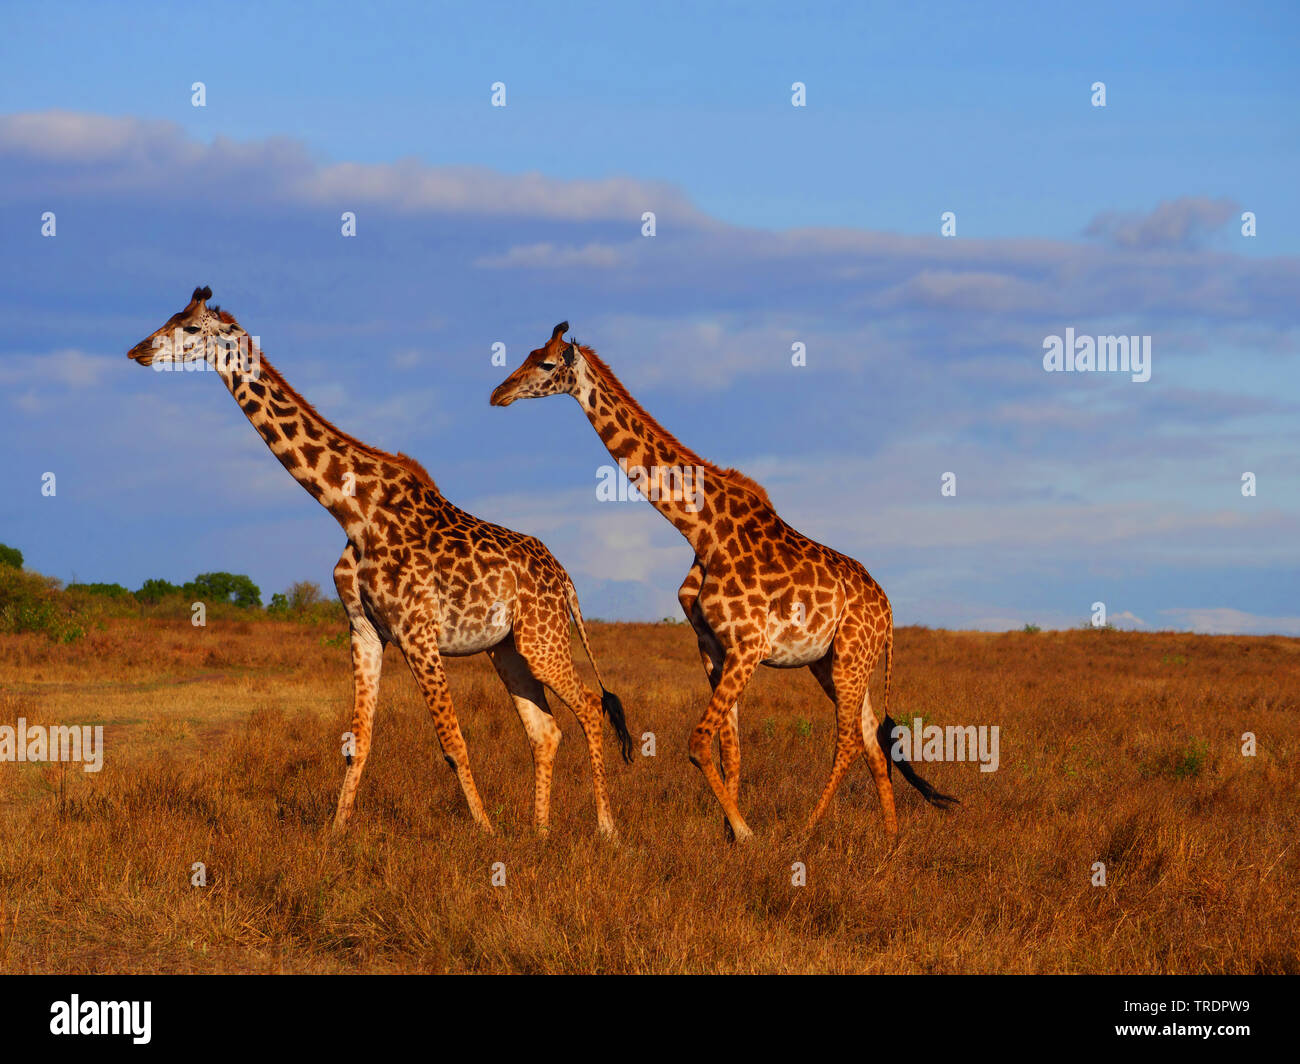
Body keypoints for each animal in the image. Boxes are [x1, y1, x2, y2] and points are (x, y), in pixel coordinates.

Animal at [127, 289, 633, 837]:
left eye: (190, 328)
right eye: (169, 318)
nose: (138, 351)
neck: (352, 509)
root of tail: (566, 578)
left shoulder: (417, 631)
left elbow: (453, 743)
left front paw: (485, 832)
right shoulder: (365, 630)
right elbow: (358, 743)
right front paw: (335, 834)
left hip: (544, 638)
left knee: (589, 707)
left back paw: (606, 828)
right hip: (509, 648)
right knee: (546, 730)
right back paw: (539, 833)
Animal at [491, 323, 956, 842]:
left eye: (547, 363)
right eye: (527, 354)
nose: (498, 394)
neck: (701, 529)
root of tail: (889, 611)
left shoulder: (749, 645)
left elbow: (698, 742)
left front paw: (745, 831)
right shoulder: (713, 646)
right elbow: (730, 750)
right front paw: (734, 833)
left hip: (851, 657)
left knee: (852, 739)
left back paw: (808, 828)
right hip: (836, 660)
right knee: (874, 737)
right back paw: (891, 838)